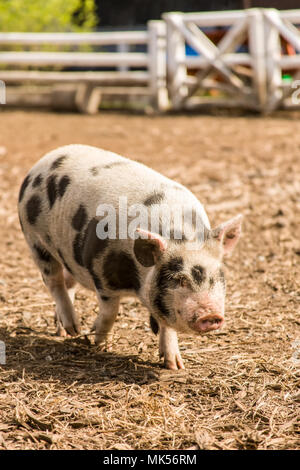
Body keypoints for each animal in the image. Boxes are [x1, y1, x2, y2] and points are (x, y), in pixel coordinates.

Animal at [17, 145, 243, 370]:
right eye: (179, 279)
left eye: (218, 278)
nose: (211, 314)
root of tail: (46, 159)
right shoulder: (101, 273)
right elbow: (111, 311)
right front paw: (99, 343)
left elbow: (167, 324)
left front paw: (175, 365)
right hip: (34, 240)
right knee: (54, 282)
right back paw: (74, 329)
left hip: (67, 253)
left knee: (68, 282)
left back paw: (64, 331)